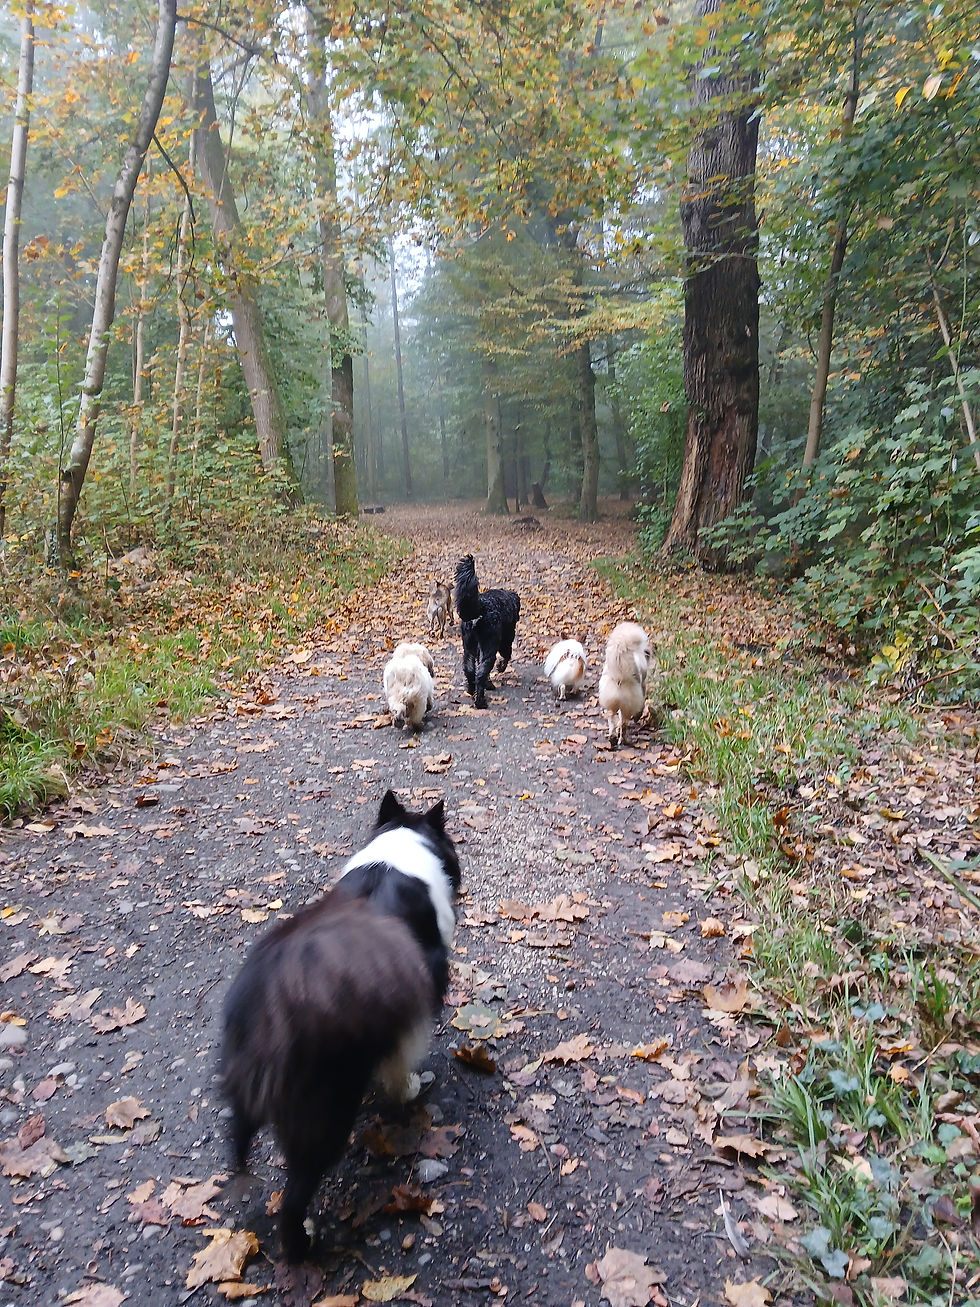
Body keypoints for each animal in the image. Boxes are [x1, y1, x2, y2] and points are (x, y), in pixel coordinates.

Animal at [220, 790, 461, 1262]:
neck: (401, 846)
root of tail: (274, 1006)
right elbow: (401, 1057)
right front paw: (408, 1088)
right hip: (324, 1115)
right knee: (294, 1197)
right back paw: (304, 1246)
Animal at [454, 553, 521, 710]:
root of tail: (480, 607)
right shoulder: (505, 641)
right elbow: (506, 656)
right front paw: (500, 668)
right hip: (491, 645)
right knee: (481, 672)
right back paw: (480, 701)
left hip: (469, 647)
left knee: (470, 669)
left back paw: (471, 689)